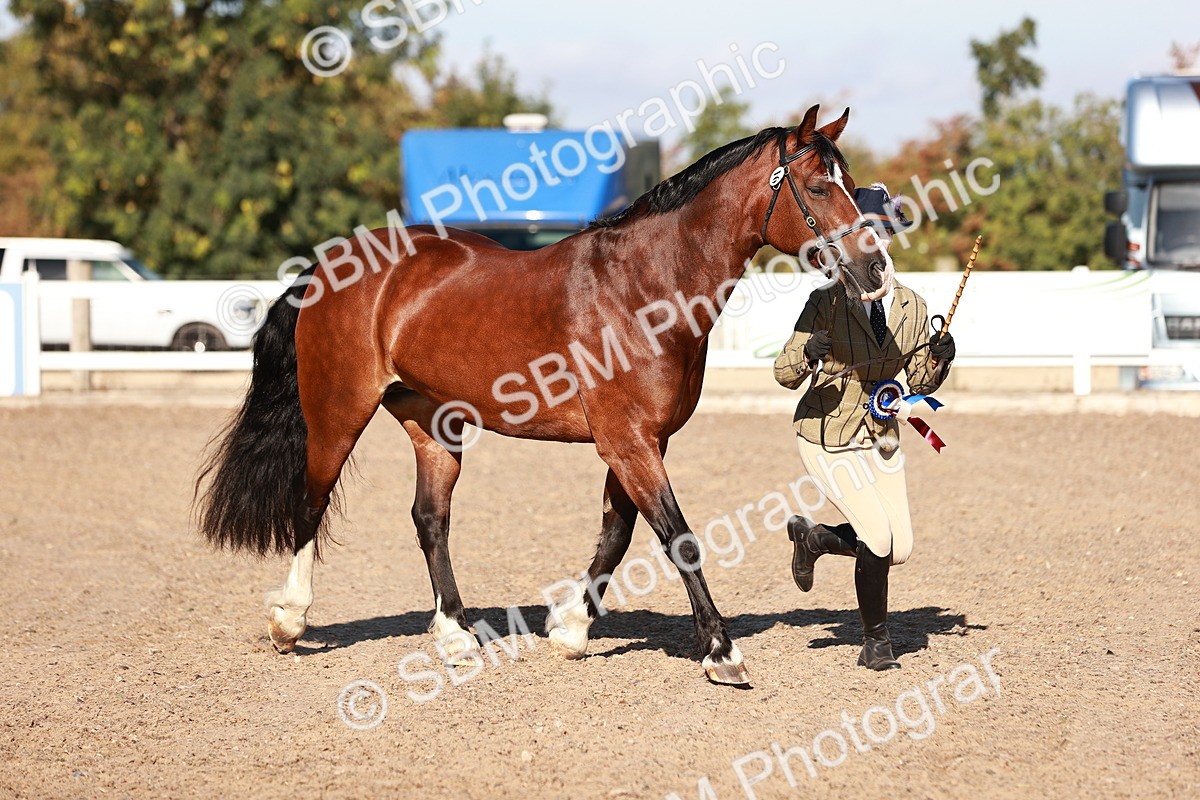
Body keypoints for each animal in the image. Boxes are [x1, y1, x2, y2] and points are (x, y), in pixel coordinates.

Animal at [195, 104, 894, 686]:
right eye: (819, 185)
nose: (875, 269)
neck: (643, 288)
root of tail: (329, 265)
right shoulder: (628, 441)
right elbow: (678, 537)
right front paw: (722, 653)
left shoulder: (639, 441)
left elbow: (618, 534)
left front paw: (571, 630)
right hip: (337, 412)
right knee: (310, 505)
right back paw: (289, 621)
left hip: (432, 424)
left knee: (429, 519)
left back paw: (455, 635)